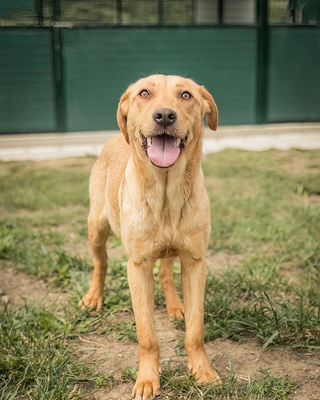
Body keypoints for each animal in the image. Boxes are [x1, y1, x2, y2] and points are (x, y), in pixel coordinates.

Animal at [81, 74, 221, 396]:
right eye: (144, 93)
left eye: (186, 95)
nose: (165, 115)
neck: (166, 194)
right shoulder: (138, 266)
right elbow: (146, 335)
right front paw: (147, 379)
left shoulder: (195, 262)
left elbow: (195, 331)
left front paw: (203, 371)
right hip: (96, 227)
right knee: (100, 263)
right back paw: (94, 297)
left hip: (172, 251)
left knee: (167, 272)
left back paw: (175, 305)